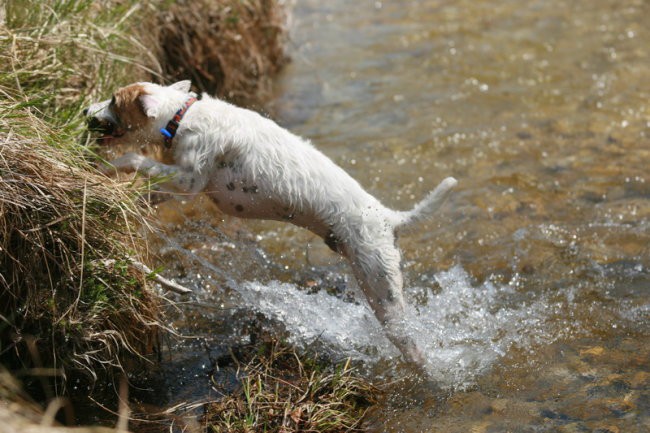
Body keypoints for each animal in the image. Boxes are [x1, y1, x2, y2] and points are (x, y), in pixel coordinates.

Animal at [85, 81, 456, 368]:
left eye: (114, 100)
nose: (86, 110)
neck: (181, 115)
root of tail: (389, 217)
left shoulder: (188, 181)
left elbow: (137, 160)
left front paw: (109, 167)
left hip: (382, 289)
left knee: (411, 346)